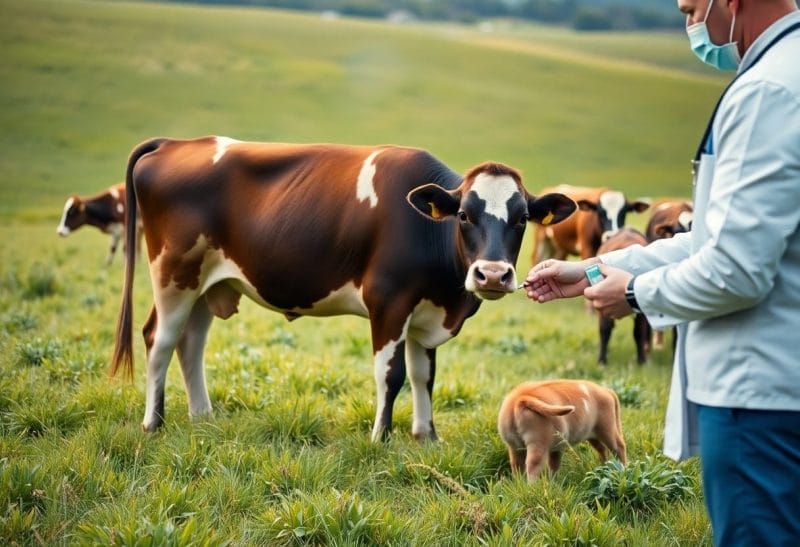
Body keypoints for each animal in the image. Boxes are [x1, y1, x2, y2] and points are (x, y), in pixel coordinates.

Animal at [111, 136, 576, 441]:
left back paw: (202, 418)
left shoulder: (424, 312)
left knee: (190, 342)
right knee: (159, 339)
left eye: (521, 218)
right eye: (463, 215)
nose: (493, 275)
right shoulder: (389, 301)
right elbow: (392, 373)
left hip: (209, 283)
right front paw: (380, 439)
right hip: (174, 273)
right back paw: (153, 423)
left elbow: (424, 375)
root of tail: (178, 142)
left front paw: (426, 436)